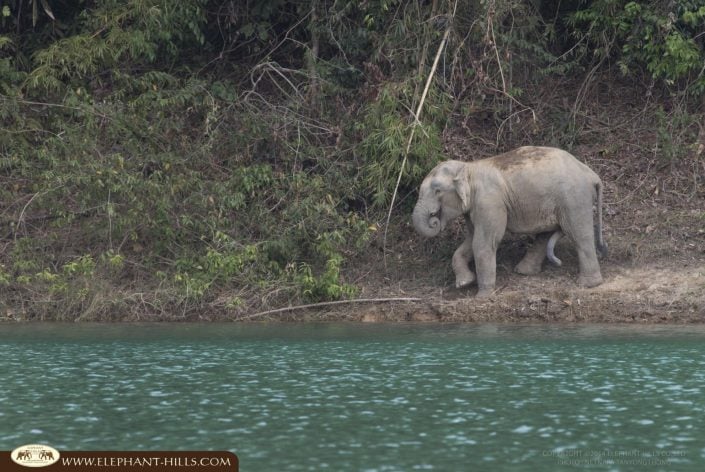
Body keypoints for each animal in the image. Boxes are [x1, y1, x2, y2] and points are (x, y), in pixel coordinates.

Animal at [412, 146, 607, 298]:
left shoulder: (489, 202)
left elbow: (483, 242)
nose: (434, 220)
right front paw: (464, 283)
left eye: (437, 190)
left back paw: (588, 284)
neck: (468, 167)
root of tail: (592, 174)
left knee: (579, 234)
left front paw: (482, 296)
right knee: (546, 235)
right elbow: (471, 240)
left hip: (574, 198)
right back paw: (524, 271)